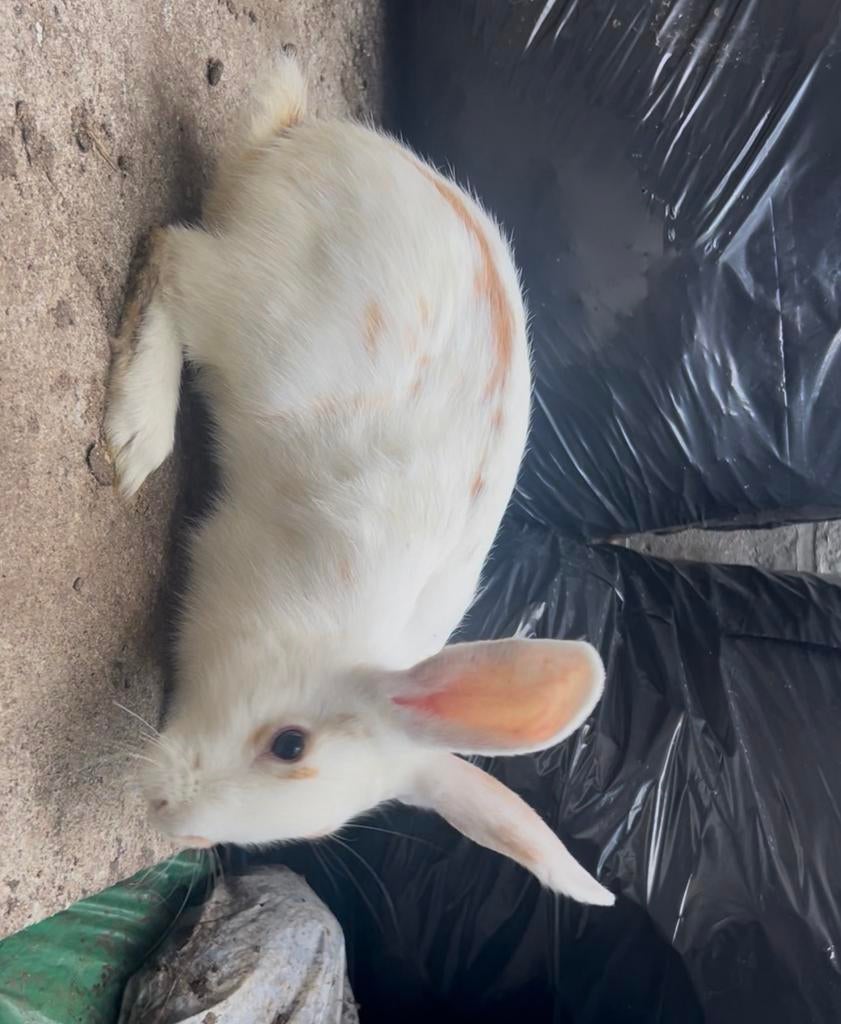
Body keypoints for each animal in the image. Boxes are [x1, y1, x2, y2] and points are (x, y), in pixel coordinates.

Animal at [104, 52, 614, 907]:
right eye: (290, 744)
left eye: (316, 830)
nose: (172, 819)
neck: (323, 633)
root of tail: (300, 139)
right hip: (251, 310)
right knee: (172, 254)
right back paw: (136, 434)